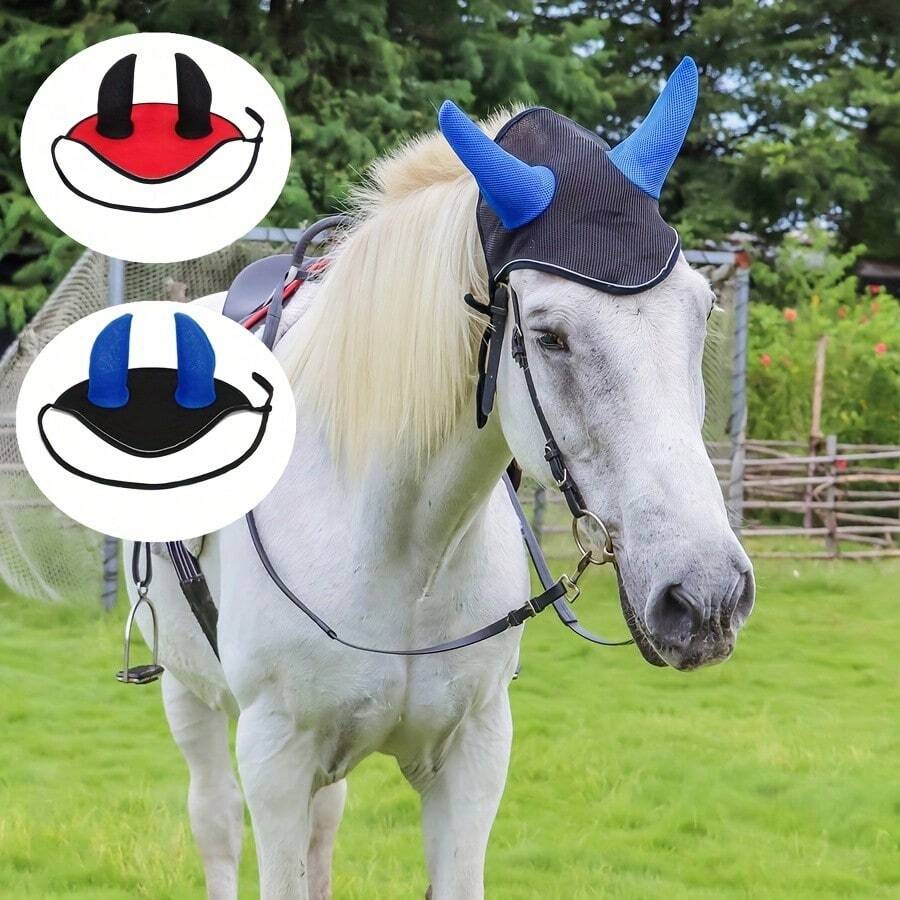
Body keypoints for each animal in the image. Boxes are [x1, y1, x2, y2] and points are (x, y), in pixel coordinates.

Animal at [126, 59, 754, 899]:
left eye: (702, 308)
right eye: (549, 336)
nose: (708, 596)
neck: (399, 545)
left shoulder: (473, 756)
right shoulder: (274, 760)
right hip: (188, 694)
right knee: (216, 823)